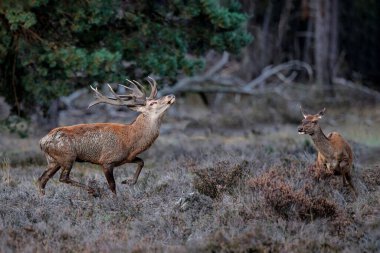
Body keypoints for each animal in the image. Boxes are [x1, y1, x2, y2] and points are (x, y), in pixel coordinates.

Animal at [38, 77, 175, 196]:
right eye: (152, 103)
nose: (171, 95)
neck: (131, 141)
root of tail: (42, 141)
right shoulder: (107, 160)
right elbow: (112, 185)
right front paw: (115, 200)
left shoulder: (127, 158)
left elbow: (141, 162)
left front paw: (128, 181)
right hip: (67, 156)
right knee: (62, 178)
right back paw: (93, 191)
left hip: (53, 160)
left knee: (42, 179)